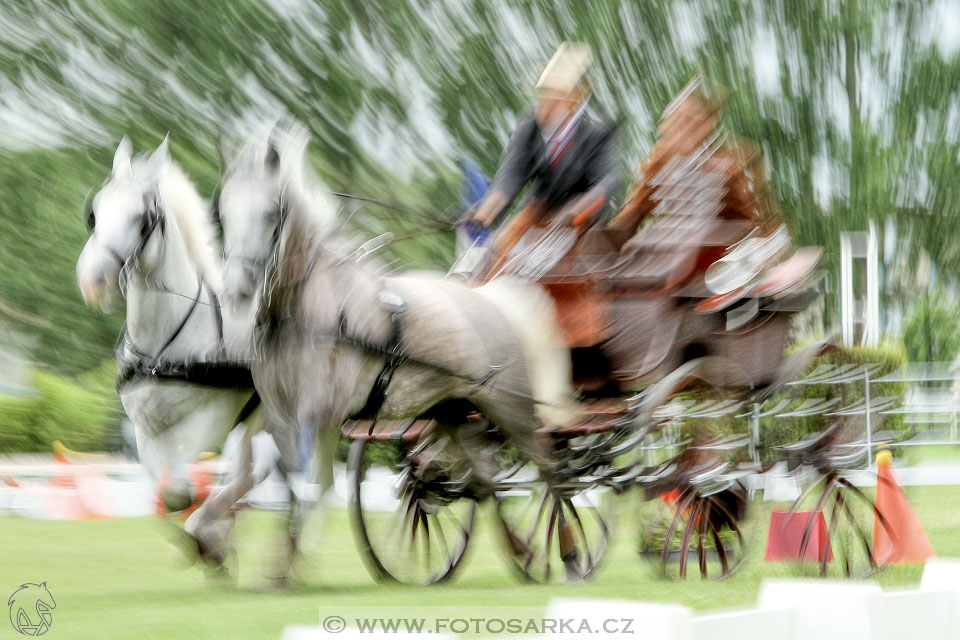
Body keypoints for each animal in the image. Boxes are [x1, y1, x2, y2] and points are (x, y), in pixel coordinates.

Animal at [76, 136, 266, 568]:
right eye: (95, 214)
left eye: (144, 218)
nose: (92, 280)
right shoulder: (145, 428)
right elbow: (161, 494)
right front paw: (204, 542)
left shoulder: (209, 420)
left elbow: (178, 490)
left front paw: (205, 537)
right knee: (251, 472)